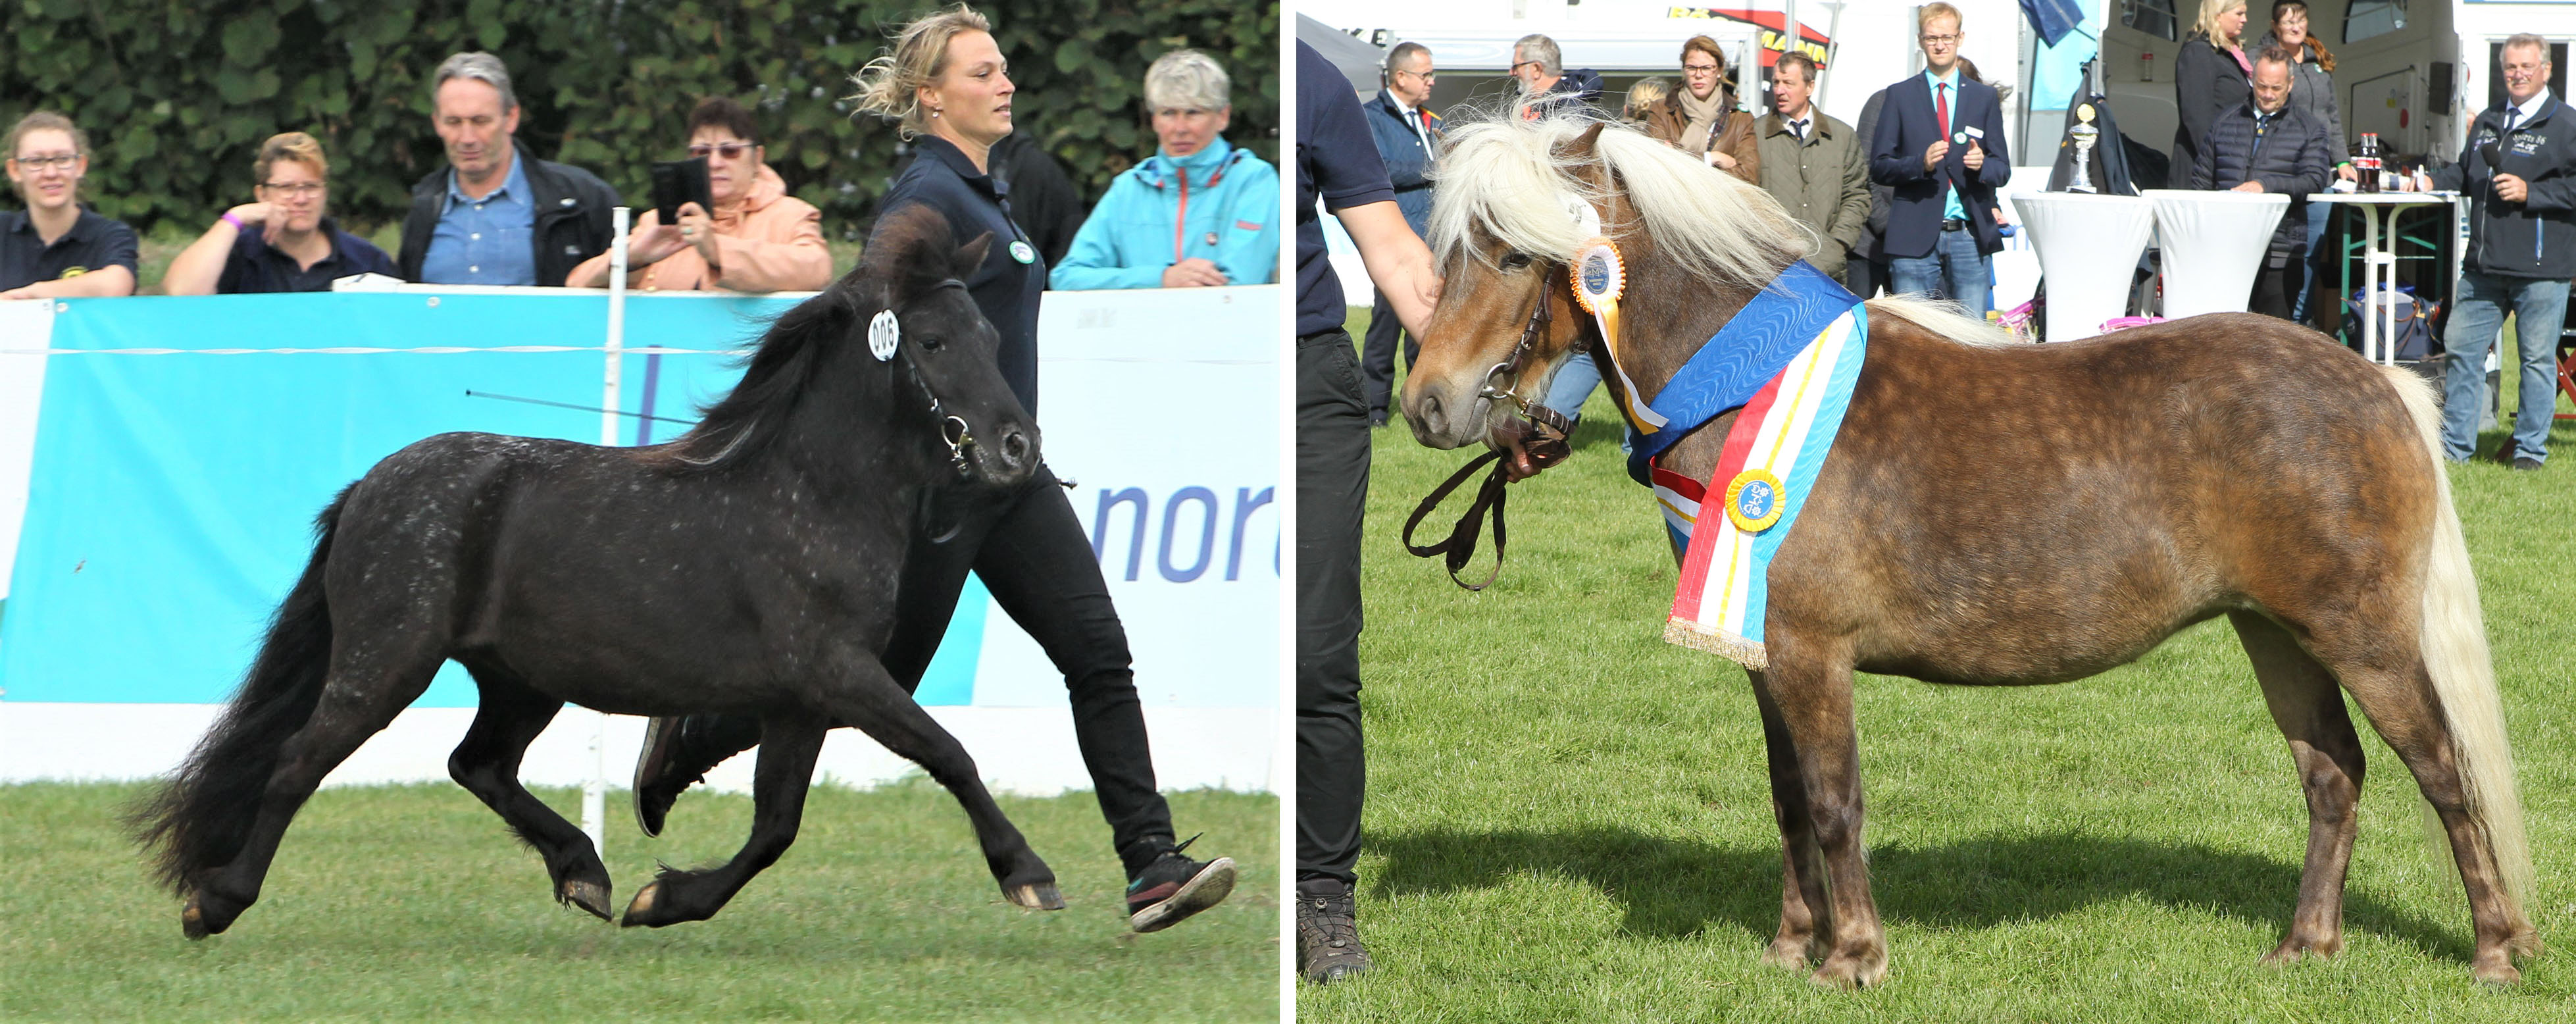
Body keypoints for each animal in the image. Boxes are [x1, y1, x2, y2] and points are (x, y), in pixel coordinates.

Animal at [122, 203, 1056, 938]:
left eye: (992, 336)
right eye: (932, 341)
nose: (1018, 449)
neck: (812, 494)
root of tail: (369, 489)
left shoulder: (801, 699)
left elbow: (776, 825)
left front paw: (662, 899)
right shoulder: (840, 675)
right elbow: (948, 751)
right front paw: (1029, 874)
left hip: (519, 679)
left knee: (477, 765)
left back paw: (585, 870)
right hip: (386, 662)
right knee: (297, 762)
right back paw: (215, 902)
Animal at [1391, 115, 2535, 985]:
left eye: (1510, 251)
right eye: (1448, 248)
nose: (1429, 405)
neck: (1752, 382)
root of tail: (2373, 380)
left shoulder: (1811, 657)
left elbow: (1834, 801)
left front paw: (1852, 958)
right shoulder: (1762, 657)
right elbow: (1787, 802)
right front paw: (1789, 949)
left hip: (2361, 638)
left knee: (2442, 772)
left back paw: (2491, 951)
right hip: (2276, 634)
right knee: (2332, 775)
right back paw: (2305, 947)